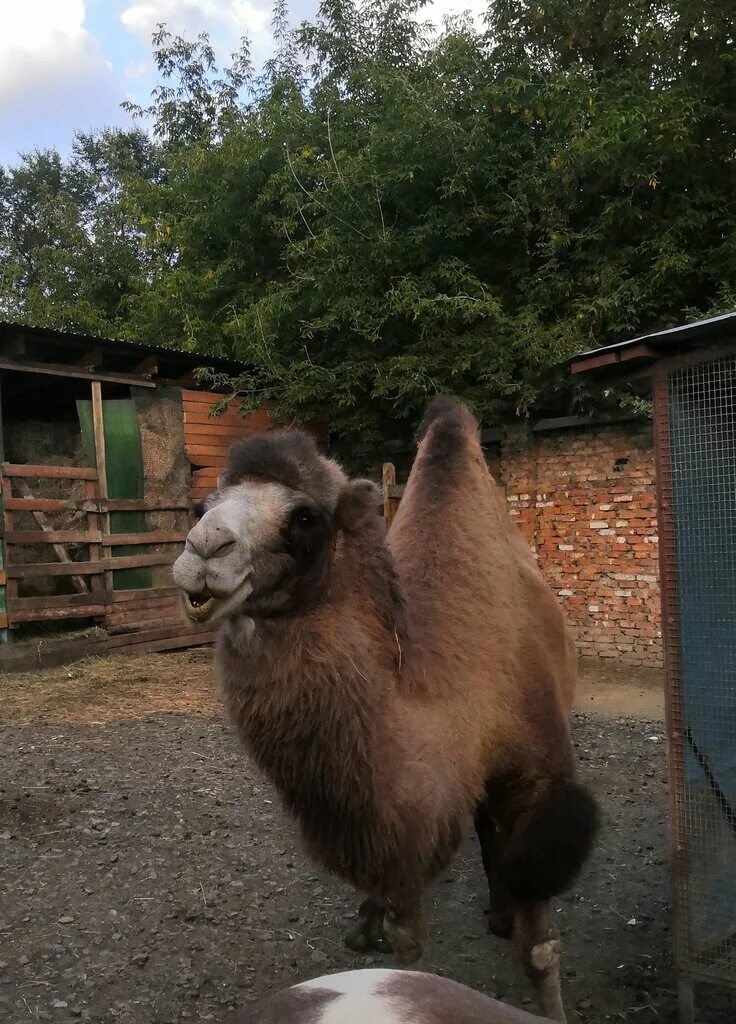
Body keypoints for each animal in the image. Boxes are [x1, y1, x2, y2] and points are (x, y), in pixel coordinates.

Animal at [172, 395, 597, 1019]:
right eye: (204, 505)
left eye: (305, 518)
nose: (203, 550)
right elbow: (406, 940)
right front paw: (379, 926)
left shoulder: (538, 774)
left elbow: (540, 949)